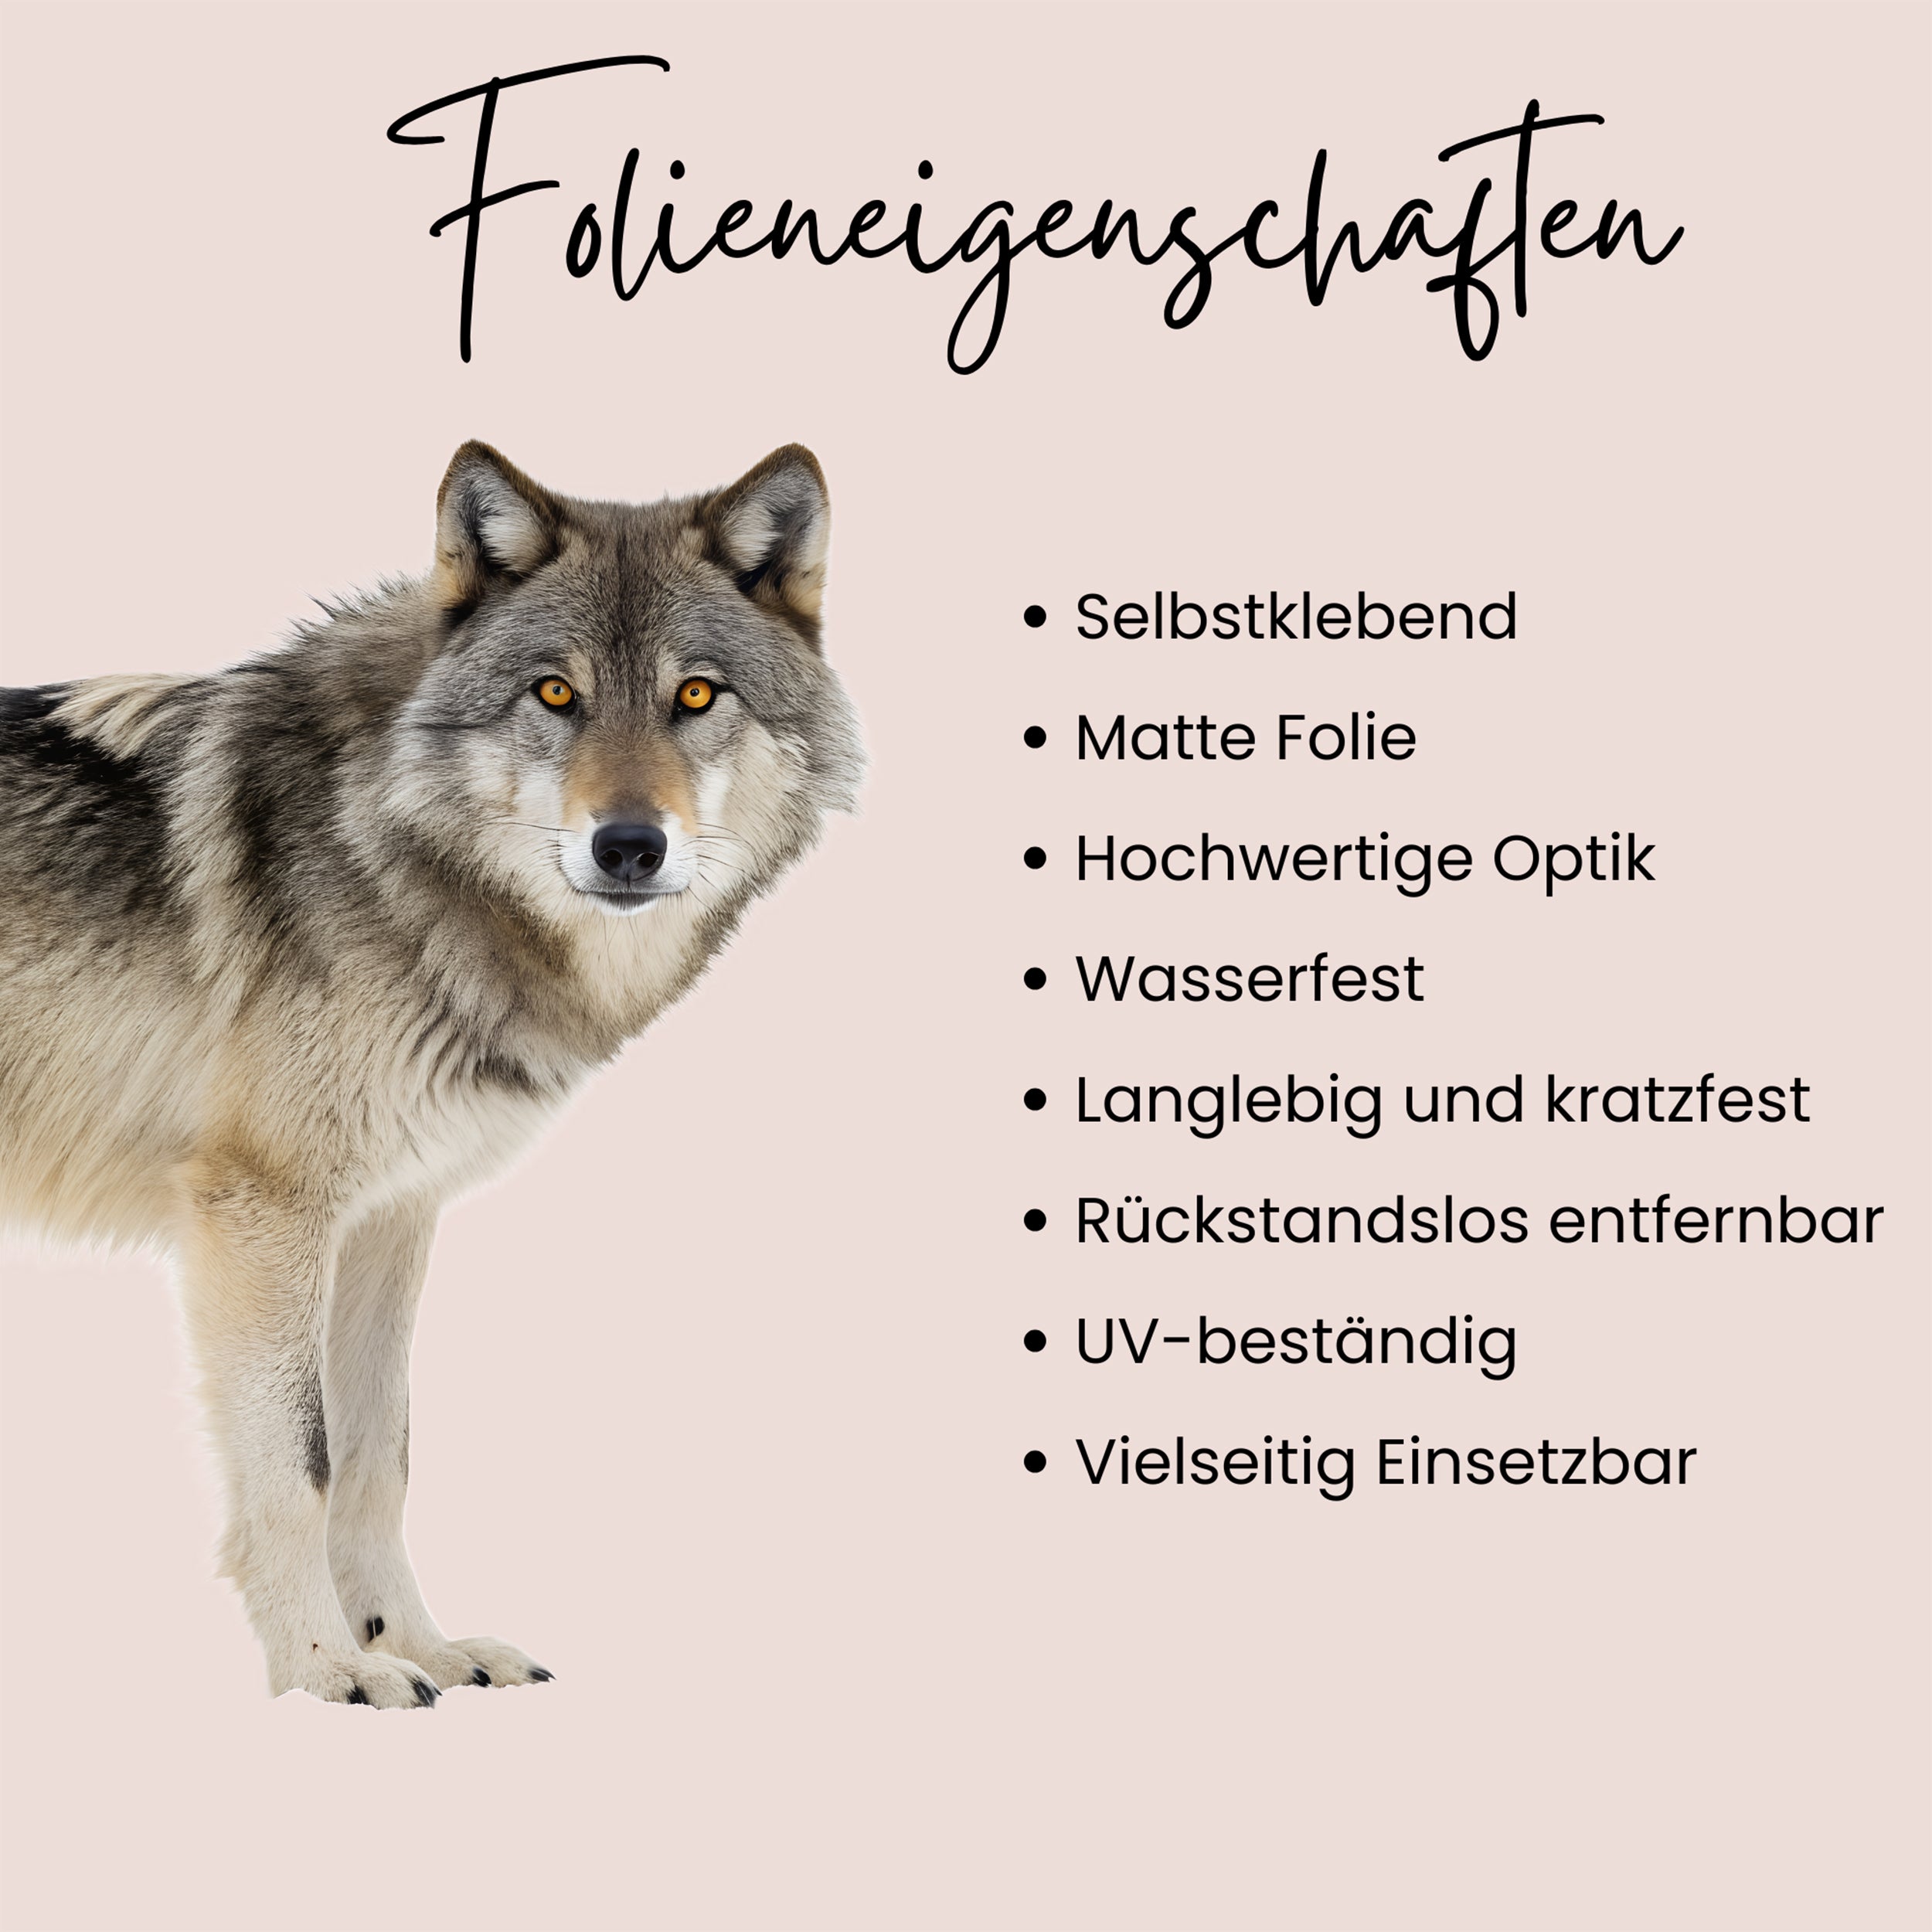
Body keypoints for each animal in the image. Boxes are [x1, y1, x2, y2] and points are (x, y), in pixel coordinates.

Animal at [0, 442, 863, 1706]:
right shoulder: (263, 1213)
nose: (629, 846)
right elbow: (300, 1463)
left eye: (696, 696)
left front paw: (418, 1645)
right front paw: (324, 1669)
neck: (388, 846)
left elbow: (378, 1454)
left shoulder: (389, 1217)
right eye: (554, 695)